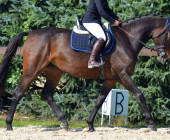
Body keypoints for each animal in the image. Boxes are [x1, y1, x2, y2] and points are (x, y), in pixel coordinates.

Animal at [0, 14, 169, 132]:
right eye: (168, 34)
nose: (164, 57)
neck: (127, 39)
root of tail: (31, 33)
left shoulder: (111, 79)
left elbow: (100, 100)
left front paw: (90, 125)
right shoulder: (123, 75)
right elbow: (140, 95)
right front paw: (152, 124)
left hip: (54, 72)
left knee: (47, 94)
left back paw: (64, 122)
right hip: (32, 70)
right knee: (18, 92)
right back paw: (9, 125)